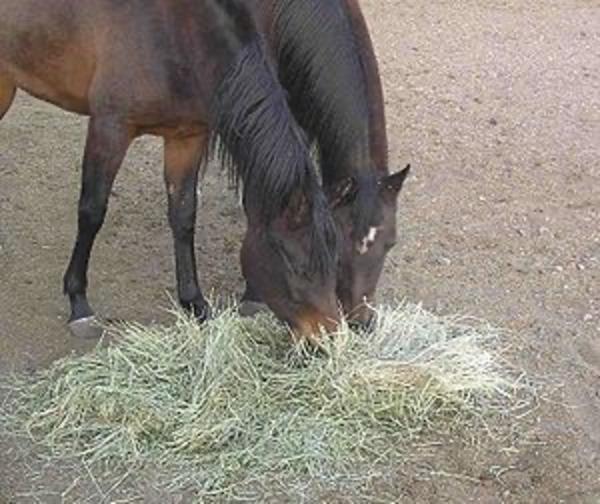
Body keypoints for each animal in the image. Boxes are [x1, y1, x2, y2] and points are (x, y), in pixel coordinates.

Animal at [0, 0, 340, 340]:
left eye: (334, 256)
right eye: (297, 264)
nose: (327, 335)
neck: (174, 33)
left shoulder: (186, 138)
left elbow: (184, 216)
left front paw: (194, 302)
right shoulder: (109, 129)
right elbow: (92, 212)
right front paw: (79, 303)